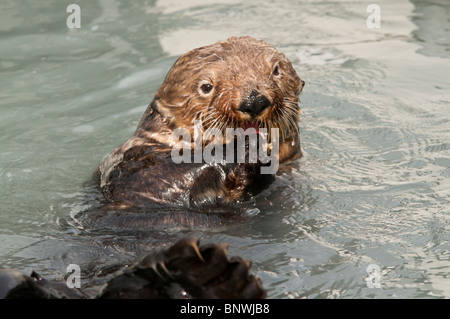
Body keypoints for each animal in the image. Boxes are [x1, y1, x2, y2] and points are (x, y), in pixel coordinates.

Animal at [95, 37, 306, 228]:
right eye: (206, 87)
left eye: (276, 71)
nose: (253, 100)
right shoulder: (137, 161)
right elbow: (161, 176)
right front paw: (245, 147)